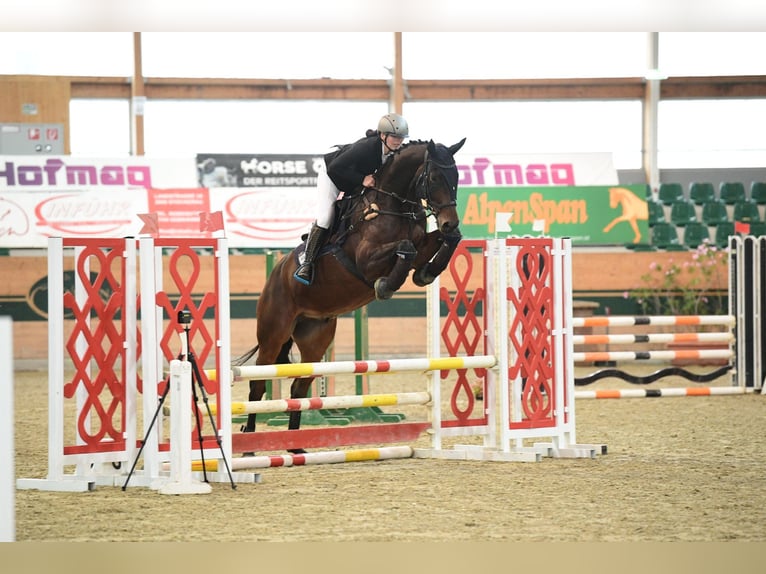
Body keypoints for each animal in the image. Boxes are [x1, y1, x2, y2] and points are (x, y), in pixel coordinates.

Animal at [237, 137, 468, 452]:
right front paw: (386, 286)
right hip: (273, 332)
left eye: (456, 177)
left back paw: (294, 446)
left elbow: (442, 243)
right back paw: (250, 442)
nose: (449, 221)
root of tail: (276, 274)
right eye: (433, 178)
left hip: (315, 337)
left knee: (299, 385)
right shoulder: (367, 261)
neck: (395, 205)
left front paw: (427, 272)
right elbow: (405, 247)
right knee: (258, 384)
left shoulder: (423, 245)